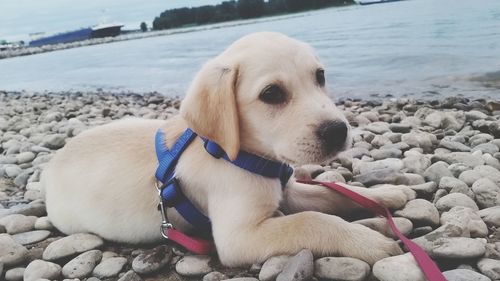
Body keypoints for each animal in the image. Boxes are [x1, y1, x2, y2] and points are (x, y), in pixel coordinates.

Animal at [42, 31, 414, 266]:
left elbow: (333, 192)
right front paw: (368, 241)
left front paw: (384, 195)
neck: (237, 154)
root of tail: (51, 166)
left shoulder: (289, 191)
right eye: (271, 94)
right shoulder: (240, 236)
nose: (338, 131)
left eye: (320, 76)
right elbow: (314, 220)